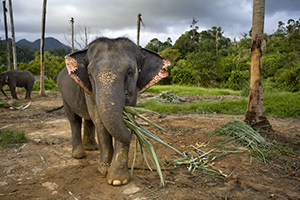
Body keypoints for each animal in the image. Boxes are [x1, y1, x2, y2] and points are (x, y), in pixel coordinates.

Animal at [56, 37, 169, 186]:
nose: (135, 130)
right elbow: (99, 120)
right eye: (89, 73)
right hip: (64, 96)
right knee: (74, 119)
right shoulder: (90, 90)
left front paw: (117, 180)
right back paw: (79, 155)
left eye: (130, 71)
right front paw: (104, 170)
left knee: (88, 120)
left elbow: (125, 115)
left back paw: (92, 148)